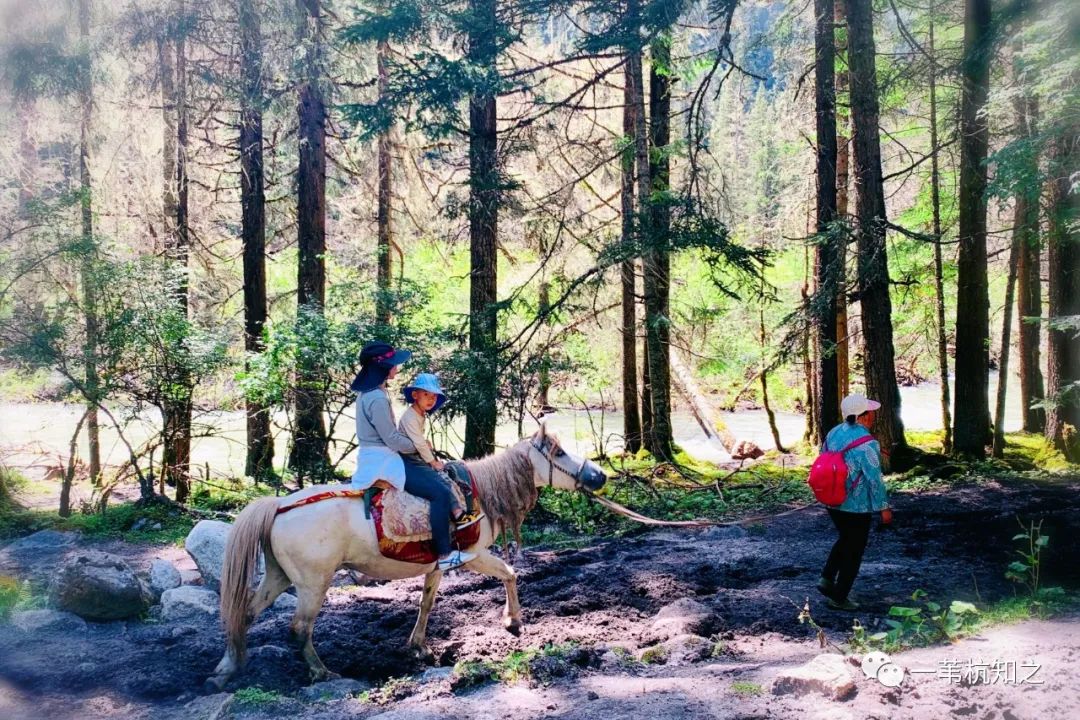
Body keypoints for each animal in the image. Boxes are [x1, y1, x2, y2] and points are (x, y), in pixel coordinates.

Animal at [203, 427, 609, 690]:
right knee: (299, 628)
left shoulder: (438, 565)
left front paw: (419, 646)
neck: (479, 492)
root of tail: (279, 505)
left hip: (278, 576)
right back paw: (321, 673)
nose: (600, 475)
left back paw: (226, 669)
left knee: (245, 613)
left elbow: (427, 602)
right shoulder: (473, 555)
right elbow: (509, 573)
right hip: (312, 584)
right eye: (558, 453)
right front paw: (513, 622)